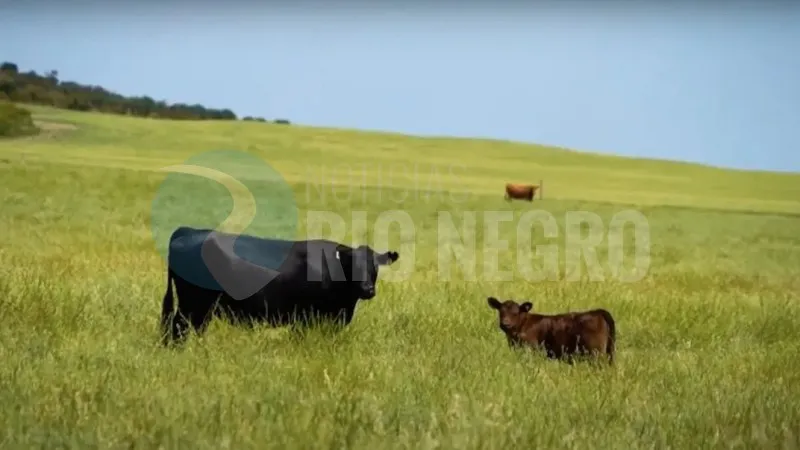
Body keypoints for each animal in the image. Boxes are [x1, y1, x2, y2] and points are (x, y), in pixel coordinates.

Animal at [160, 226, 400, 345]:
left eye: (374, 267)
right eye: (351, 265)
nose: (367, 289)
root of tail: (188, 230)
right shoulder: (304, 317)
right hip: (193, 304)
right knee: (179, 327)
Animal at [487, 297, 615, 365]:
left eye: (515, 313)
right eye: (501, 311)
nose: (505, 323)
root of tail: (597, 311)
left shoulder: (531, 349)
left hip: (596, 353)